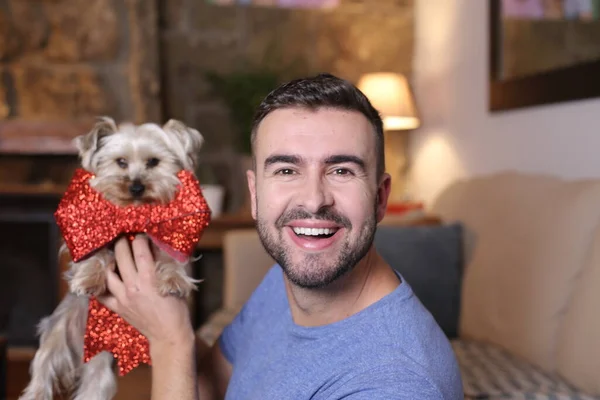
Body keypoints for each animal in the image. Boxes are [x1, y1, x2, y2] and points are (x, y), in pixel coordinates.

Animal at [19, 117, 206, 398]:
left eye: (153, 162)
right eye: (121, 162)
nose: (136, 187)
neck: (133, 218)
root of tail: (80, 358)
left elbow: (171, 258)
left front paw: (174, 280)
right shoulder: (89, 237)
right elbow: (95, 254)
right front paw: (89, 280)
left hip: (100, 370)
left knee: (92, 387)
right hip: (55, 338)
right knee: (43, 375)